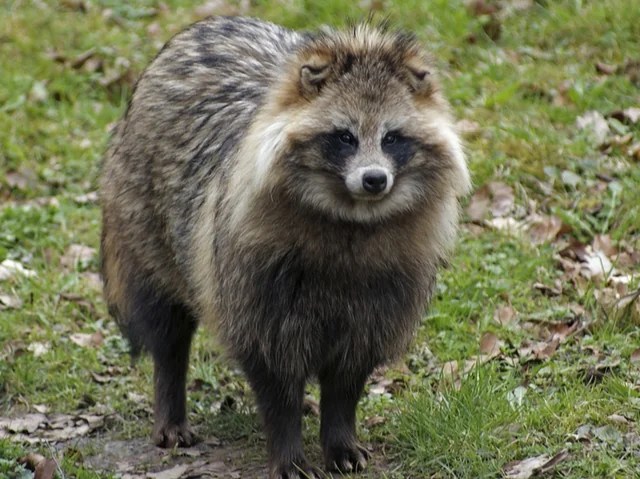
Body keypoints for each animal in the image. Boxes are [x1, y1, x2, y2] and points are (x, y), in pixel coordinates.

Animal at [100, 16, 470, 479]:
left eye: (392, 138)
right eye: (345, 137)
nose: (374, 180)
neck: (351, 218)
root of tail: (207, 24)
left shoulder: (384, 290)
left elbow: (348, 376)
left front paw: (339, 435)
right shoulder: (254, 278)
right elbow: (274, 374)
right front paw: (288, 448)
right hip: (145, 222)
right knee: (166, 326)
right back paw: (170, 397)